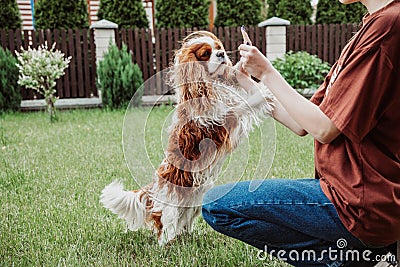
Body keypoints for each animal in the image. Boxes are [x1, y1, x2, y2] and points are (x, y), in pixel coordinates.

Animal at [100, 30, 276, 246]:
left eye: (219, 48)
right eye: (205, 54)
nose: (221, 54)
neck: (210, 84)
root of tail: (154, 188)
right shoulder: (219, 122)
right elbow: (244, 104)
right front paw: (265, 93)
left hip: (195, 201)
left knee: (184, 224)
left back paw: (188, 237)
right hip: (172, 206)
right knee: (165, 228)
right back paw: (167, 245)